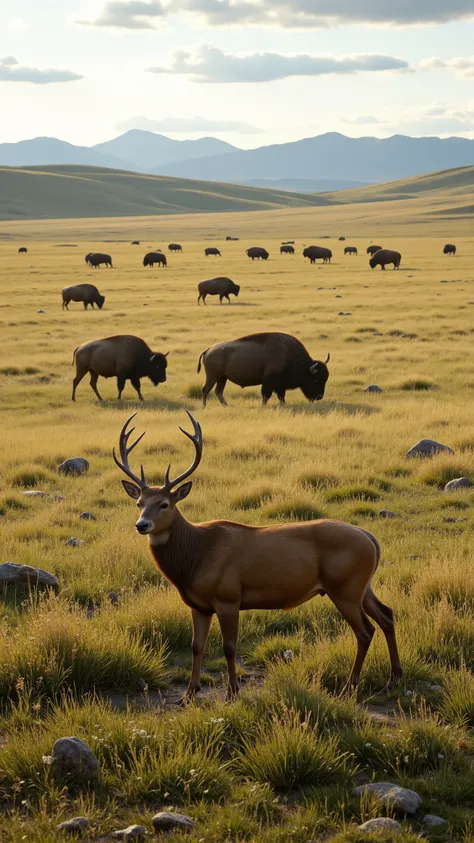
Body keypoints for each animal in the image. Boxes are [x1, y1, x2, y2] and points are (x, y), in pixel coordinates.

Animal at [198, 332, 330, 407]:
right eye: (315, 380)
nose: (319, 396)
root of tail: (209, 349)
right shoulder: (269, 381)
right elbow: (266, 395)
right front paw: (264, 406)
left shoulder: (280, 385)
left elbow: (281, 396)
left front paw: (283, 405)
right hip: (213, 376)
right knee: (206, 390)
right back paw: (204, 406)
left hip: (222, 378)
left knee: (218, 391)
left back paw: (226, 405)